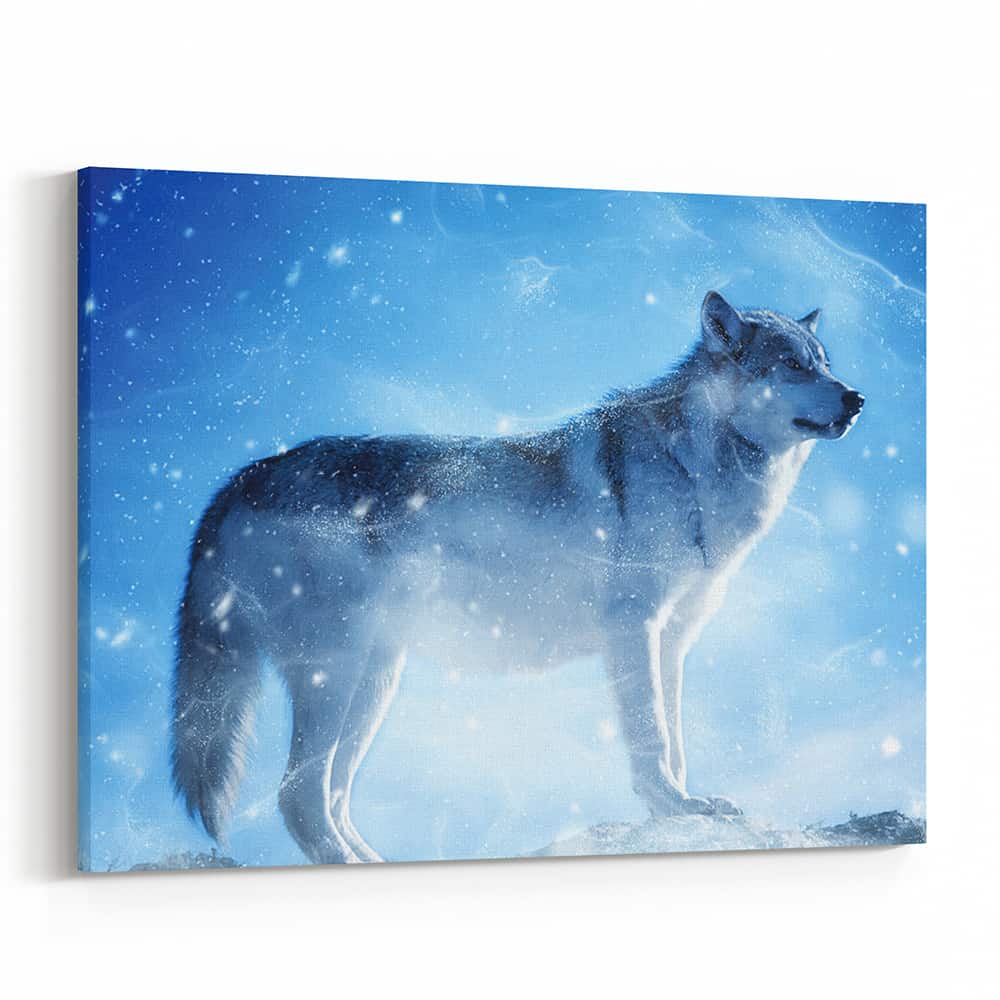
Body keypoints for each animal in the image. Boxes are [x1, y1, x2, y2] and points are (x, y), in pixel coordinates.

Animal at [171, 290, 864, 863]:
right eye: (793, 366)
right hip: (334, 675)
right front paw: (673, 807)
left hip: (374, 683)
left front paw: (687, 810)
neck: (689, 465)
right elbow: (652, 739)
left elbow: (676, 739)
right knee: (299, 799)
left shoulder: (672, 641)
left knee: (332, 799)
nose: (857, 398)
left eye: (825, 363)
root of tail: (240, 478)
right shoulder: (633, 630)